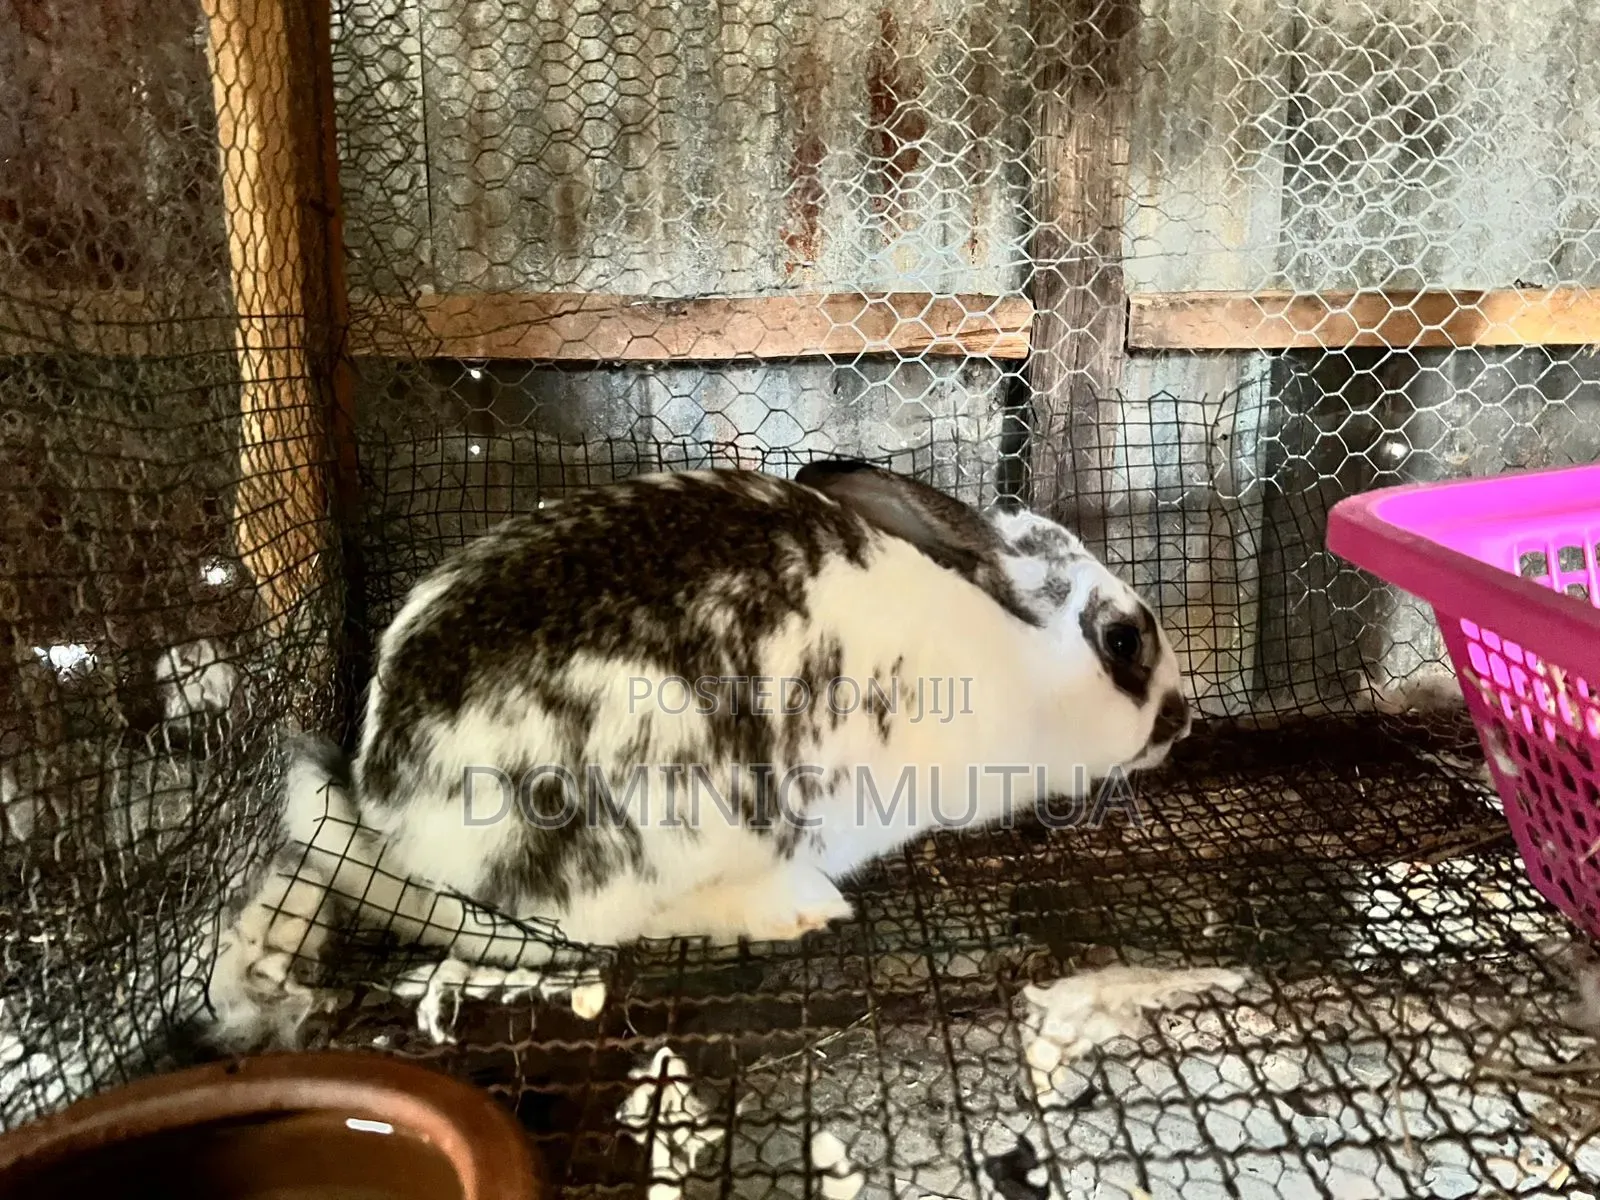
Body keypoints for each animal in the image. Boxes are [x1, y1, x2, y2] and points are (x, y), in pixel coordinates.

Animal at [270, 460, 1193, 969]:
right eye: (1123, 641)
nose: (1184, 718)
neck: (1021, 661)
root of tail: (394, 811)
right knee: (612, 931)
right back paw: (794, 906)